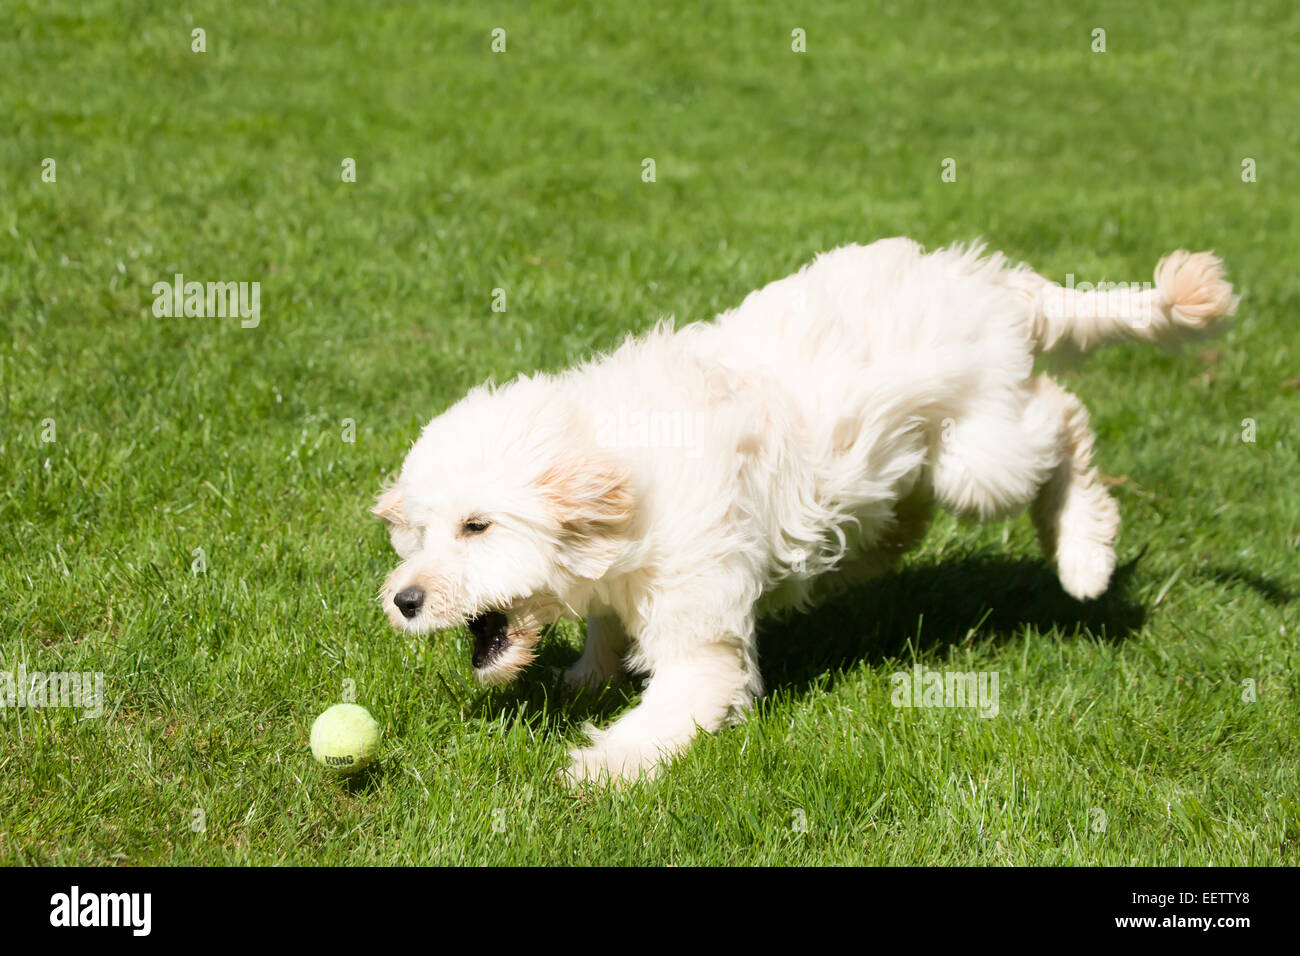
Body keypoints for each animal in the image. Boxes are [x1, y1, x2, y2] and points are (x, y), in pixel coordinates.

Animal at [371, 238, 1232, 785]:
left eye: (478, 527)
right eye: (418, 533)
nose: (402, 601)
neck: (626, 478)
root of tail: (991, 283)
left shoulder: (702, 636)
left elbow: (671, 706)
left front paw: (598, 767)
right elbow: (606, 627)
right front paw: (588, 676)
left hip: (979, 458)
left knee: (1064, 419)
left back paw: (1085, 554)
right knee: (912, 516)